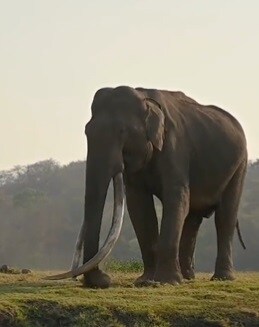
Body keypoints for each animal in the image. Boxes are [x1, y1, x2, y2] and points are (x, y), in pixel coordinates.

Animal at [47, 86, 249, 288]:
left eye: (122, 132)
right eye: (86, 131)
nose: (102, 280)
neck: (144, 98)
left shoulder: (176, 149)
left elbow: (176, 200)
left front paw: (167, 282)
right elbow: (139, 206)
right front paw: (145, 281)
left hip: (240, 165)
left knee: (225, 216)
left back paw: (222, 278)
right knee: (193, 218)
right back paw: (187, 277)